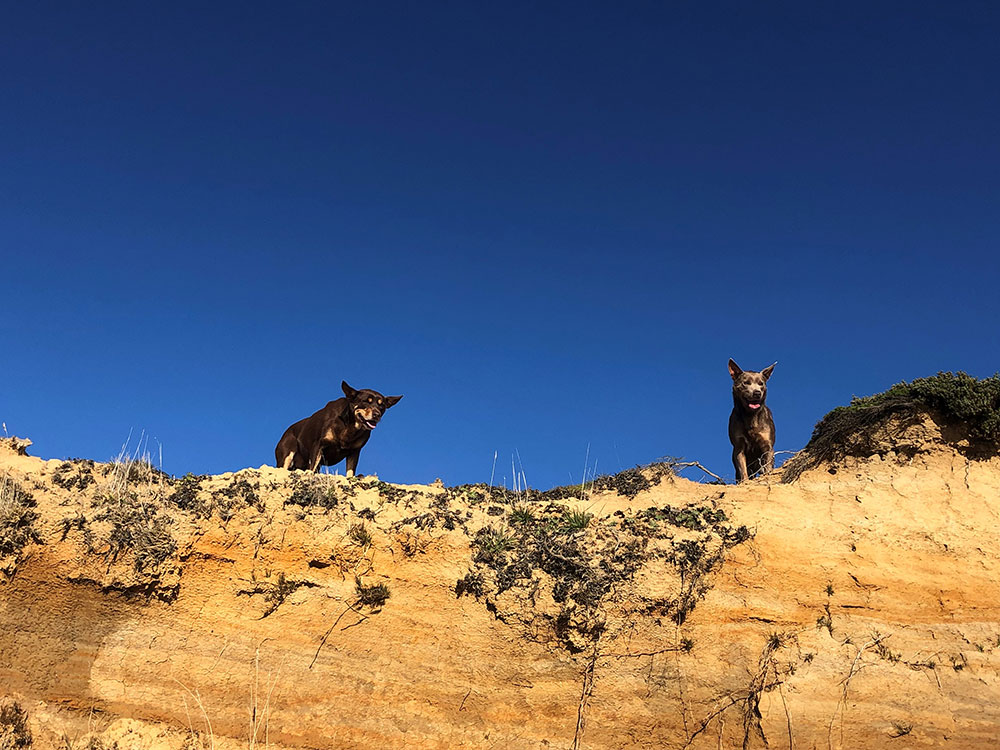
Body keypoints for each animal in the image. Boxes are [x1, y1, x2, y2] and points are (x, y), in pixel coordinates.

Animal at [274, 382, 402, 476]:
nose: (377, 415)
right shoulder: (318, 445)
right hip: (287, 454)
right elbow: (312, 467)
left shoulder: (355, 452)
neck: (349, 426)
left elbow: (350, 473)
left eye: (382, 406)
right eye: (366, 401)